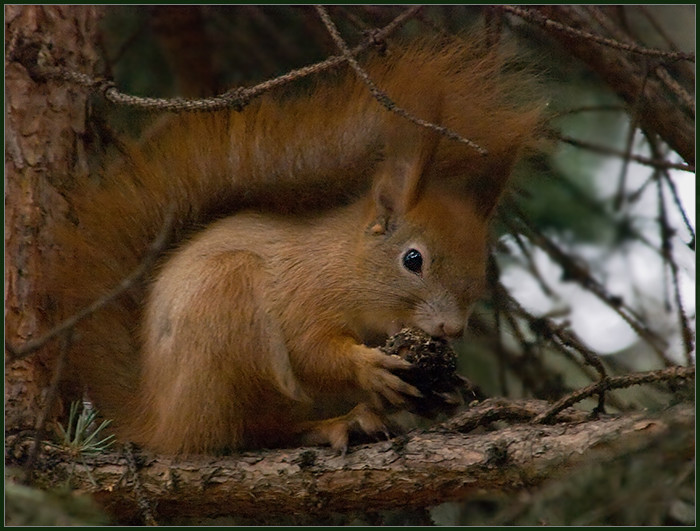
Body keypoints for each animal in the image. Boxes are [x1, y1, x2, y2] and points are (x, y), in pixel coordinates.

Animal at [50, 37, 540, 456]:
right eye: (413, 259)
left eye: (481, 269)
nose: (451, 329)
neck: (345, 264)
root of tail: (154, 421)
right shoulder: (304, 290)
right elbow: (310, 349)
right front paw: (367, 367)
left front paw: (447, 387)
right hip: (227, 308)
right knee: (254, 430)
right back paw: (332, 425)